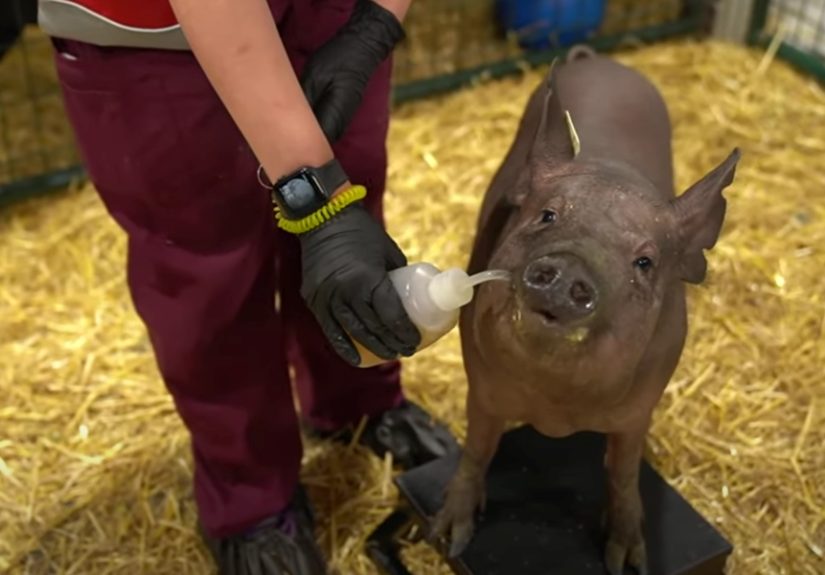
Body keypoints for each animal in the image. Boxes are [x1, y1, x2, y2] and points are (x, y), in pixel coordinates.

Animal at [429, 46, 740, 575]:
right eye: (547, 215)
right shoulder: (482, 386)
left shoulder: (640, 408)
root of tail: (598, 60)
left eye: (644, 261)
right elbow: (477, 449)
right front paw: (449, 539)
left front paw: (628, 560)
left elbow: (623, 471)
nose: (570, 267)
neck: (557, 408)